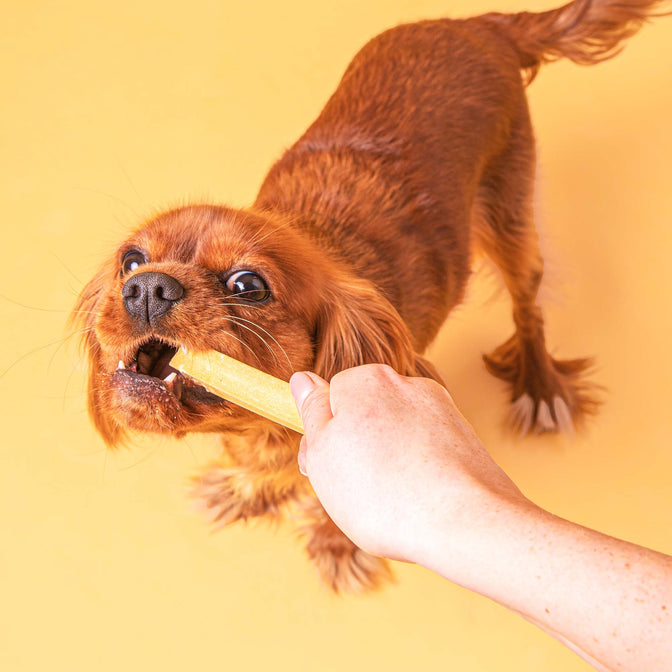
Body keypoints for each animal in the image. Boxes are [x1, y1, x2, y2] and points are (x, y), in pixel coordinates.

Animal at [71, 0, 668, 588]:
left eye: (247, 285)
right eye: (130, 261)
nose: (146, 288)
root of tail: (483, 25)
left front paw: (335, 540)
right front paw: (246, 486)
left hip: (511, 220)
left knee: (528, 308)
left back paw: (540, 387)